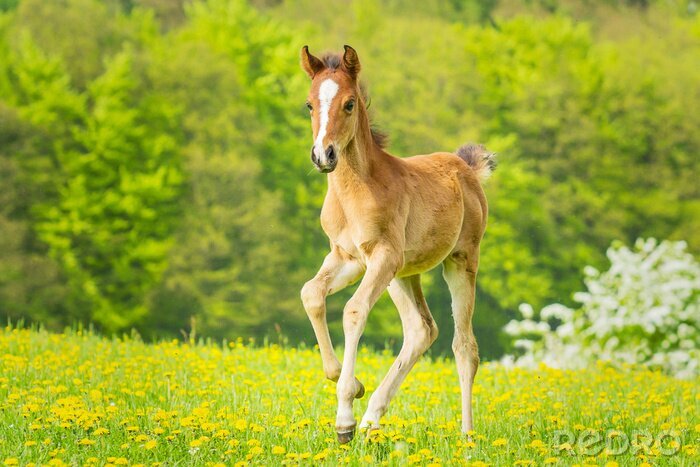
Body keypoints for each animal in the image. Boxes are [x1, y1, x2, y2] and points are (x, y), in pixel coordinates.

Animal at [300, 45, 492, 444]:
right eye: (309, 104)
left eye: (349, 103)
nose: (323, 156)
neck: (355, 191)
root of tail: (465, 167)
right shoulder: (348, 257)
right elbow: (311, 294)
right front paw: (352, 384)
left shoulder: (381, 257)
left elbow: (353, 311)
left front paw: (344, 417)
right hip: (402, 274)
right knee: (422, 330)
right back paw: (372, 417)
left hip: (460, 261)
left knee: (464, 346)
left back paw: (466, 436)